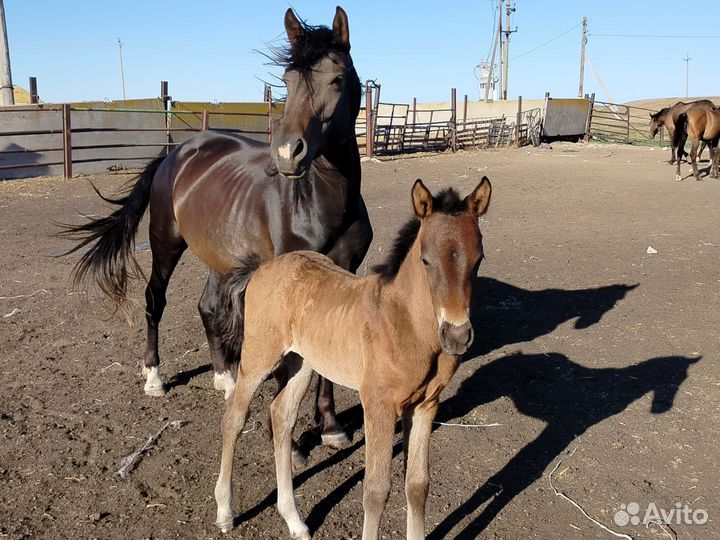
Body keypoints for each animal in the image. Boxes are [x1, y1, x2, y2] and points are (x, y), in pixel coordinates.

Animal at [59, 7, 372, 451]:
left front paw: (330, 426)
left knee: (207, 306)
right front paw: (289, 441)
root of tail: (176, 154)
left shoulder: (342, 272)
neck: (322, 203)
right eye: (287, 81)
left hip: (220, 256)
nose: (286, 153)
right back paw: (154, 377)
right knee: (154, 299)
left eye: (337, 78)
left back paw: (225, 377)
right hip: (165, 243)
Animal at [212, 178, 492, 540]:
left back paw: (294, 520)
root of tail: (262, 267)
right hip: (258, 357)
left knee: (282, 416)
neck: (403, 322)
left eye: (478, 259)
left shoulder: (426, 405)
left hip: (303, 363)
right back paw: (225, 512)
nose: (456, 336)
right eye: (426, 259)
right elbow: (376, 490)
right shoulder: (378, 404)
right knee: (234, 418)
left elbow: (418, 485)